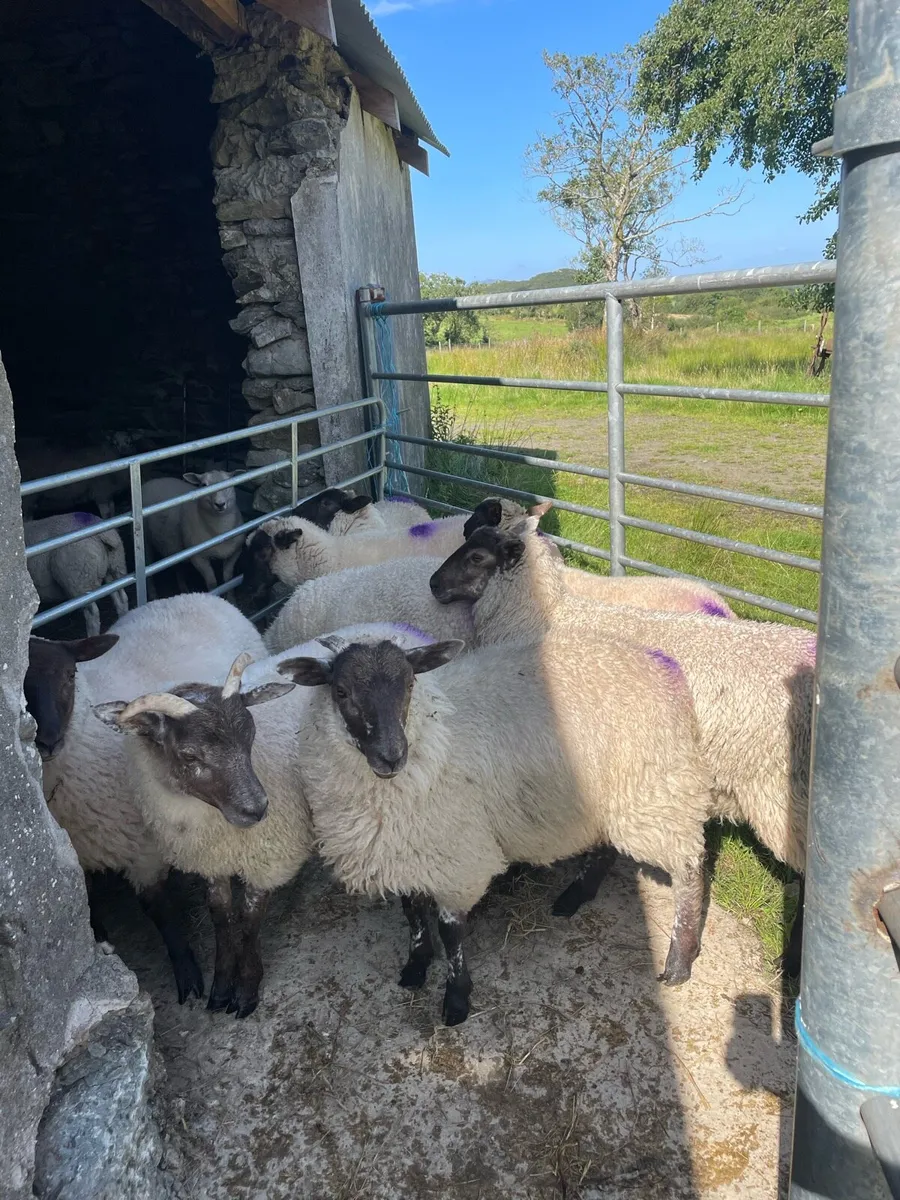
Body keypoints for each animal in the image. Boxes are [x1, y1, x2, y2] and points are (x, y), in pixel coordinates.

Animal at [26, 594, 267, 1002]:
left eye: (70, 675)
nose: (47, 741)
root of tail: (190, 596)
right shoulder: (74, 849)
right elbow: (83, 898)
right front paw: (99, 940)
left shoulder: (143, 847)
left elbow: (160, 911)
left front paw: (187, 974)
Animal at [94, 623, 437, 1017]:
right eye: (189, 755)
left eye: (250, 735)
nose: (256, 808)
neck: (213, 822)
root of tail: (385, 628)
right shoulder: (209, 860)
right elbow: (220, 915)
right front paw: (220, 987)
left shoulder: (269, 857)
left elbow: (249, 918)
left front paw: (245, 989)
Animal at [278, 630, 715, 1025]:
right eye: (341, 692)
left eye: (409, 684)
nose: (391, 756)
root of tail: (660, 664)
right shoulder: (408, 848)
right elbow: (412, 912)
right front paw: (416, 964)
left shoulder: (455, 858)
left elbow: (449, 931)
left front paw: (456, 998)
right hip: (611, 794)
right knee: (607, 846)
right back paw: (575, 896)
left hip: (656, 792)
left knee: (689, 869)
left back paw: (679, 962)